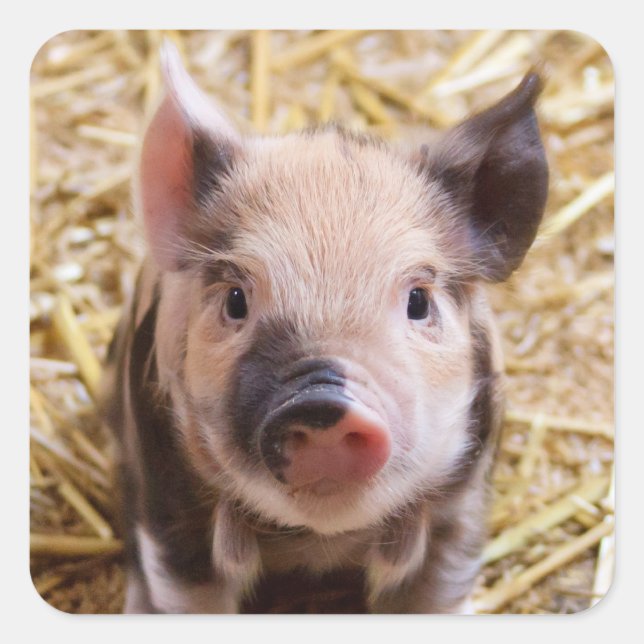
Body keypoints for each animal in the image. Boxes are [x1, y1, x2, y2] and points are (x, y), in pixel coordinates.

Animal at [100, 41, 548, 614]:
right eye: (236, 300)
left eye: (418, 301)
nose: (322, 400)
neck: (319, 542)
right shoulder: (170, 500)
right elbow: (188, 592)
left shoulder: (463, 502)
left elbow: (435, 592)